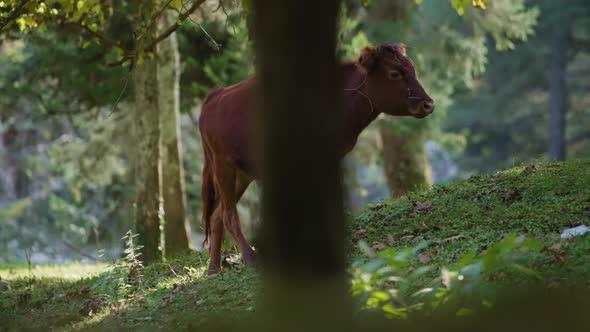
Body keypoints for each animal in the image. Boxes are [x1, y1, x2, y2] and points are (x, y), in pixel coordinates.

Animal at [199, 42, 434, 274]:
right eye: (394, 73)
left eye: (412, 68)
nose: (428, 104)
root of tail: (215, 96)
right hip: (223, 164)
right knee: (228, 215)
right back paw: (249, 257)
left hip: (242, 173)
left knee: (216, 216)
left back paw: (214, 268)